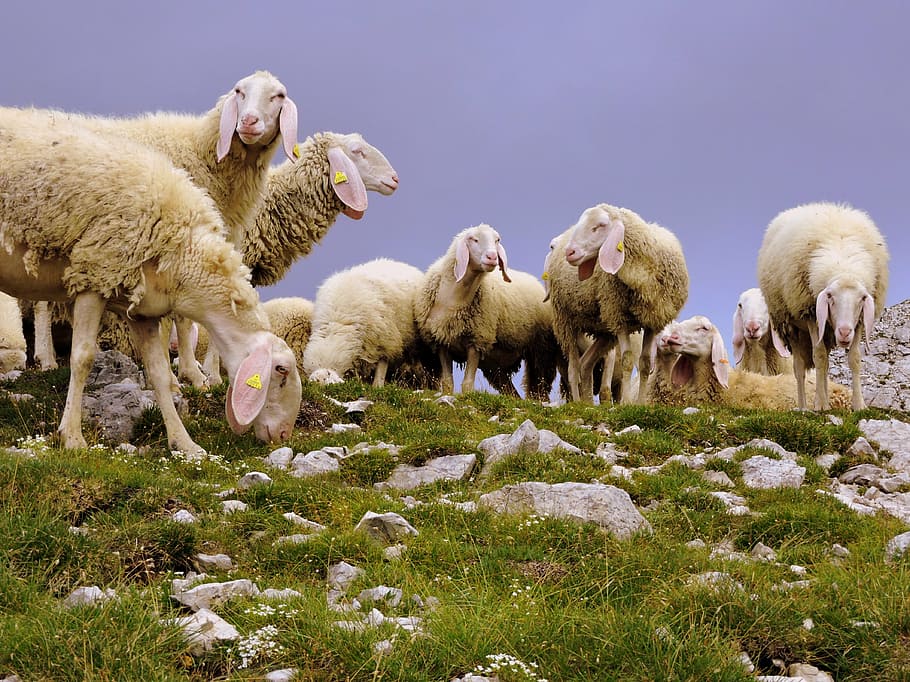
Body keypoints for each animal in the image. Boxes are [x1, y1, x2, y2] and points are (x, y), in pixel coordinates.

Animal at [0, 107, 302, 457]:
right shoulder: (96, 272)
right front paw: (72, 437)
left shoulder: (143, 308)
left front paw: (185, 443)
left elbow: (158, 373)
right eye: (281, 371)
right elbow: (83, 358)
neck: (185, 251)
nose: (283, 435)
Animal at [30, 70, 299, 388]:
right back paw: (46, 358)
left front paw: (201, 373)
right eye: (239, 91)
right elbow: (177, 317)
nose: (248, 122)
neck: (202, 151)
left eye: (278, 95)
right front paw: (181, 376)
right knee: (41, 304)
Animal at [413, 224, 559, 398]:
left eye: (497, 240)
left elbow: (467, 384)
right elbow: (447, 383)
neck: (455, 300)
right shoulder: (441, 341)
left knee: (539, 387)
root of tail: (535, 281)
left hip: (541, 349)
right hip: (496, 366)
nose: (492, 257)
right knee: (512, 392)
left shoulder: (477, 341)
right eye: (473, 239)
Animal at [548, 204, 689, 403]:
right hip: (565, 320)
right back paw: (577, 402)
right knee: (573, 369)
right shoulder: (619, 317)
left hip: (604, 332)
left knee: (585, 364)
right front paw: (626, 403)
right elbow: (627, 361)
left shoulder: (653, 321)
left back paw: (588, 403)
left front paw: (640, 403)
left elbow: (645, 363)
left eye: (600, 225)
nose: (570, 252)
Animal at [756, 202, 889, 410]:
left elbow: (854, 359)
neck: (843, 262)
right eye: (830, 297)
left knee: (825, 364)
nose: (844, 332)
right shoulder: (810, 313)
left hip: (825, 330)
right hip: (792, 326)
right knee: (800, 367)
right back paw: (805, 406)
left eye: (862, 298)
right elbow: (818, 357)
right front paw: (820, 405)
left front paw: (859, 405)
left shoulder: (858, 321)